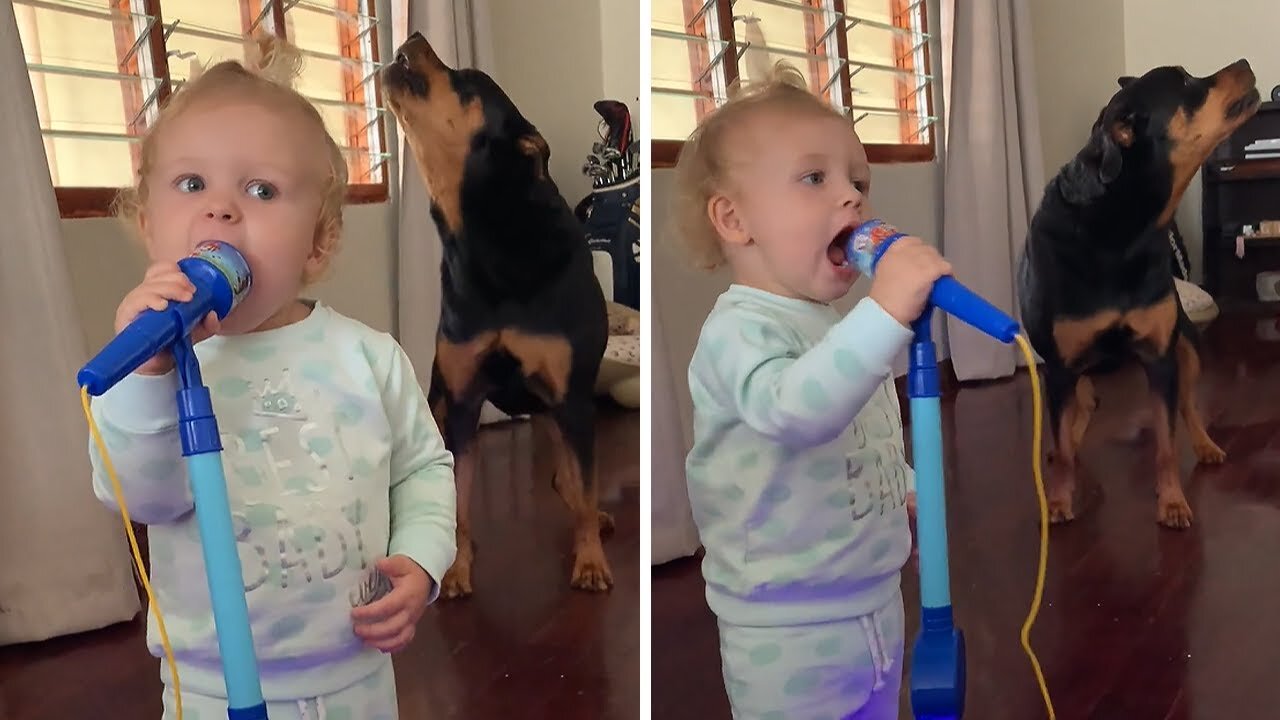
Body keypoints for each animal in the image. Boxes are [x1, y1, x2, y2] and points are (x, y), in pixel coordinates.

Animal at [381, 32, 611, 594]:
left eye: (467, 81)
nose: (413, 37)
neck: (487, 236)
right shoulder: (463, 400)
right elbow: (460, 497)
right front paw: (457, 568)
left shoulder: (573, 398)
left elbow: (584, 486)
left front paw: (590, 561)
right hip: (439, 399)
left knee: (571, 481)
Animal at [1018, 58, 1259, 527]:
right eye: (1185, 83)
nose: (1244, 63)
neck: (1123, 223)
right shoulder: (1060, 366)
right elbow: (1064, 436)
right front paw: (1058, 500)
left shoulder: (1160, 356)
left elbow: (1166, 441)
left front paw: (1172, 501)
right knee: (1082, 409)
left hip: (1187, 347)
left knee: (1187, 405)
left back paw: (1204, 445)